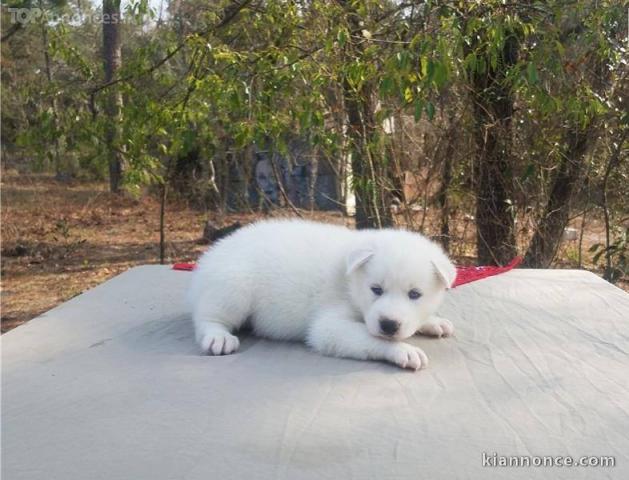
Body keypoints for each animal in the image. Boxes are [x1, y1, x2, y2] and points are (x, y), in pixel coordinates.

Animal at [188, 219, 456, 370]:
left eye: (415, 294)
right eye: (376, 290)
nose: (389, 325)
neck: (351, 284)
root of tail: (208, 257)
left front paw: (433, 322)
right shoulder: (330, 325)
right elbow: (367, 337)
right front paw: (403, 350)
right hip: (234, 286)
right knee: (208, 317)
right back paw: (218, 337)